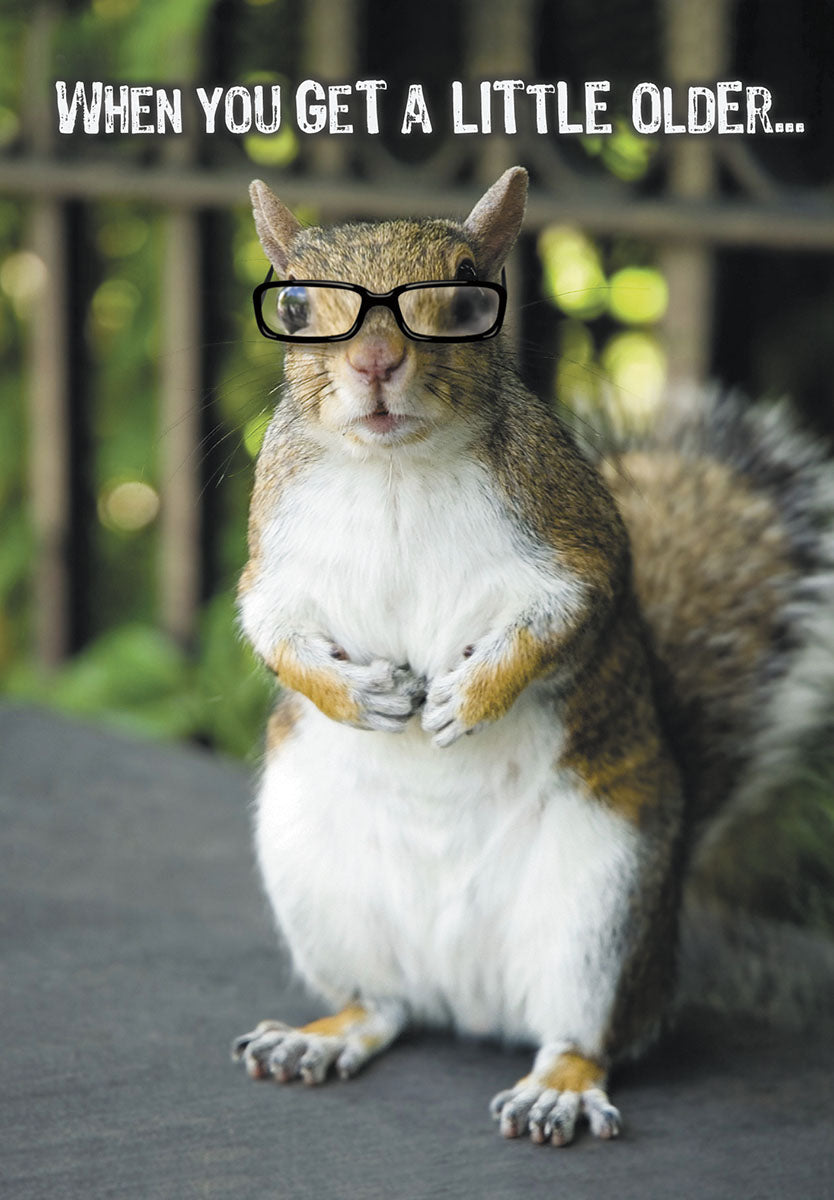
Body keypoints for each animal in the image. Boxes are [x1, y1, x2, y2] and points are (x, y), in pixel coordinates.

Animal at [231, 166, 834, 1146]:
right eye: (290, 302)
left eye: (470, 293)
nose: (375, 366)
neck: (393, 469)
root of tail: (467, 997)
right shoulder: (272, 558)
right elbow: (274, 631)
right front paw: (362, 697)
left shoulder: (571, 542)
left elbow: (560, 620)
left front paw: (467, 700)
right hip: (315, 883)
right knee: (383, 1006)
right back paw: (321, 1035)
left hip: (602, 909)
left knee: (583, 1032)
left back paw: (559, 1087)